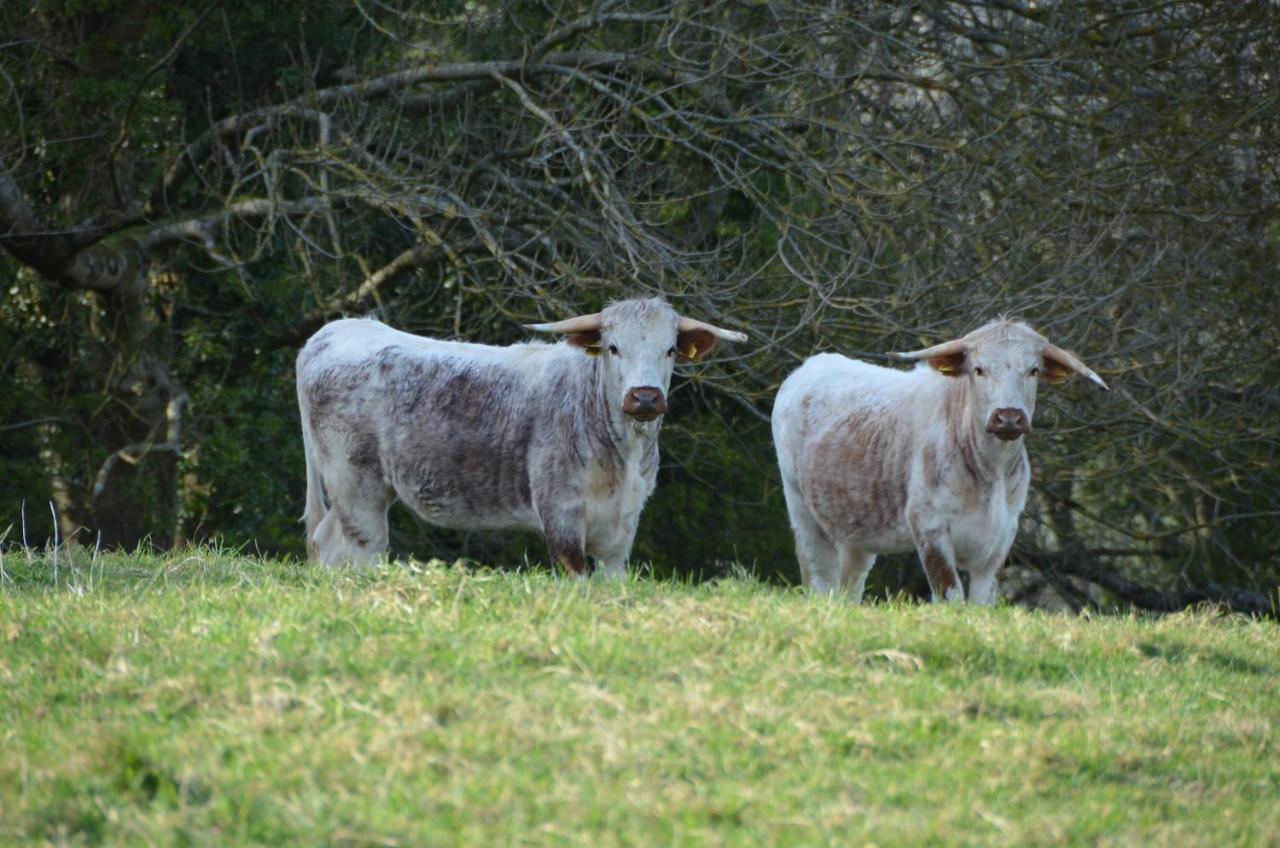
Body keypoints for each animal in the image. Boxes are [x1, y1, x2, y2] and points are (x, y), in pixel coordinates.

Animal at [768, 318, 1111, 604]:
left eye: (1033, 370)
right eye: (978, 369)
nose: (1008, 417)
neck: (991, 471)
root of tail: (811, 365)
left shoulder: (1001, 539)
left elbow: (981, 603)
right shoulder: (929, 526)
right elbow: (951, 596)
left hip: (856, 528)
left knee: (849, 584)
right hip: (802, 510)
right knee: (820, 578)